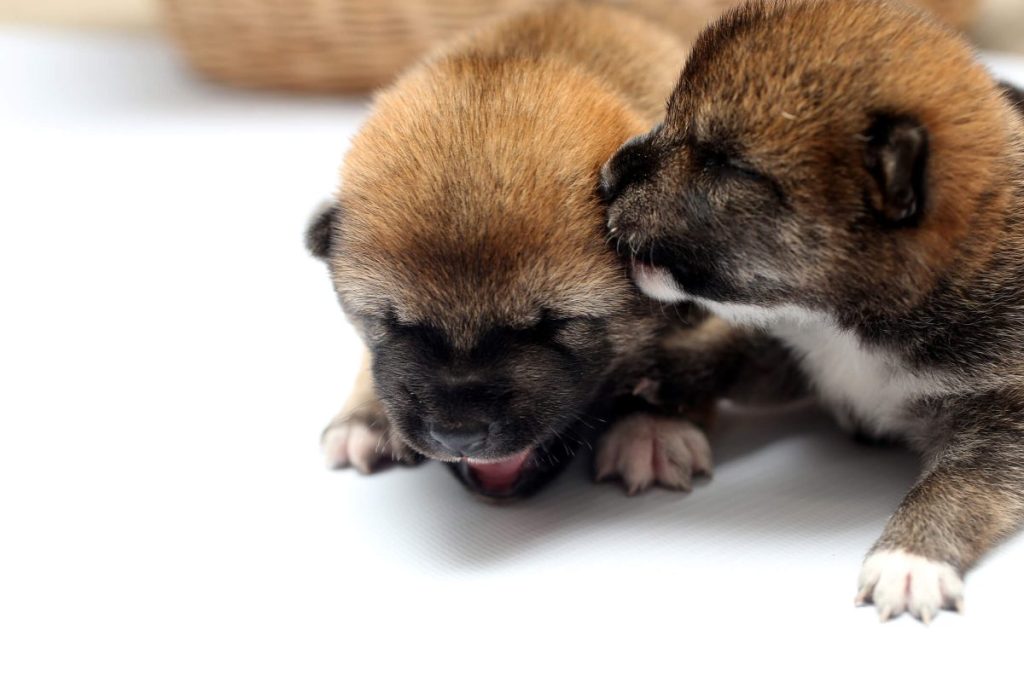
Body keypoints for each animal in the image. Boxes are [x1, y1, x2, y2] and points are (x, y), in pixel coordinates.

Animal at [598, 0, 1024, 618]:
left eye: (725, 165)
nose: (605, 178)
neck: (849, 327)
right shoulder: (789, 343)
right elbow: (720, 350)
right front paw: (653, 400)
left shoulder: (1005, 416)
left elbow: (965, 482)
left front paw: (911, 558)